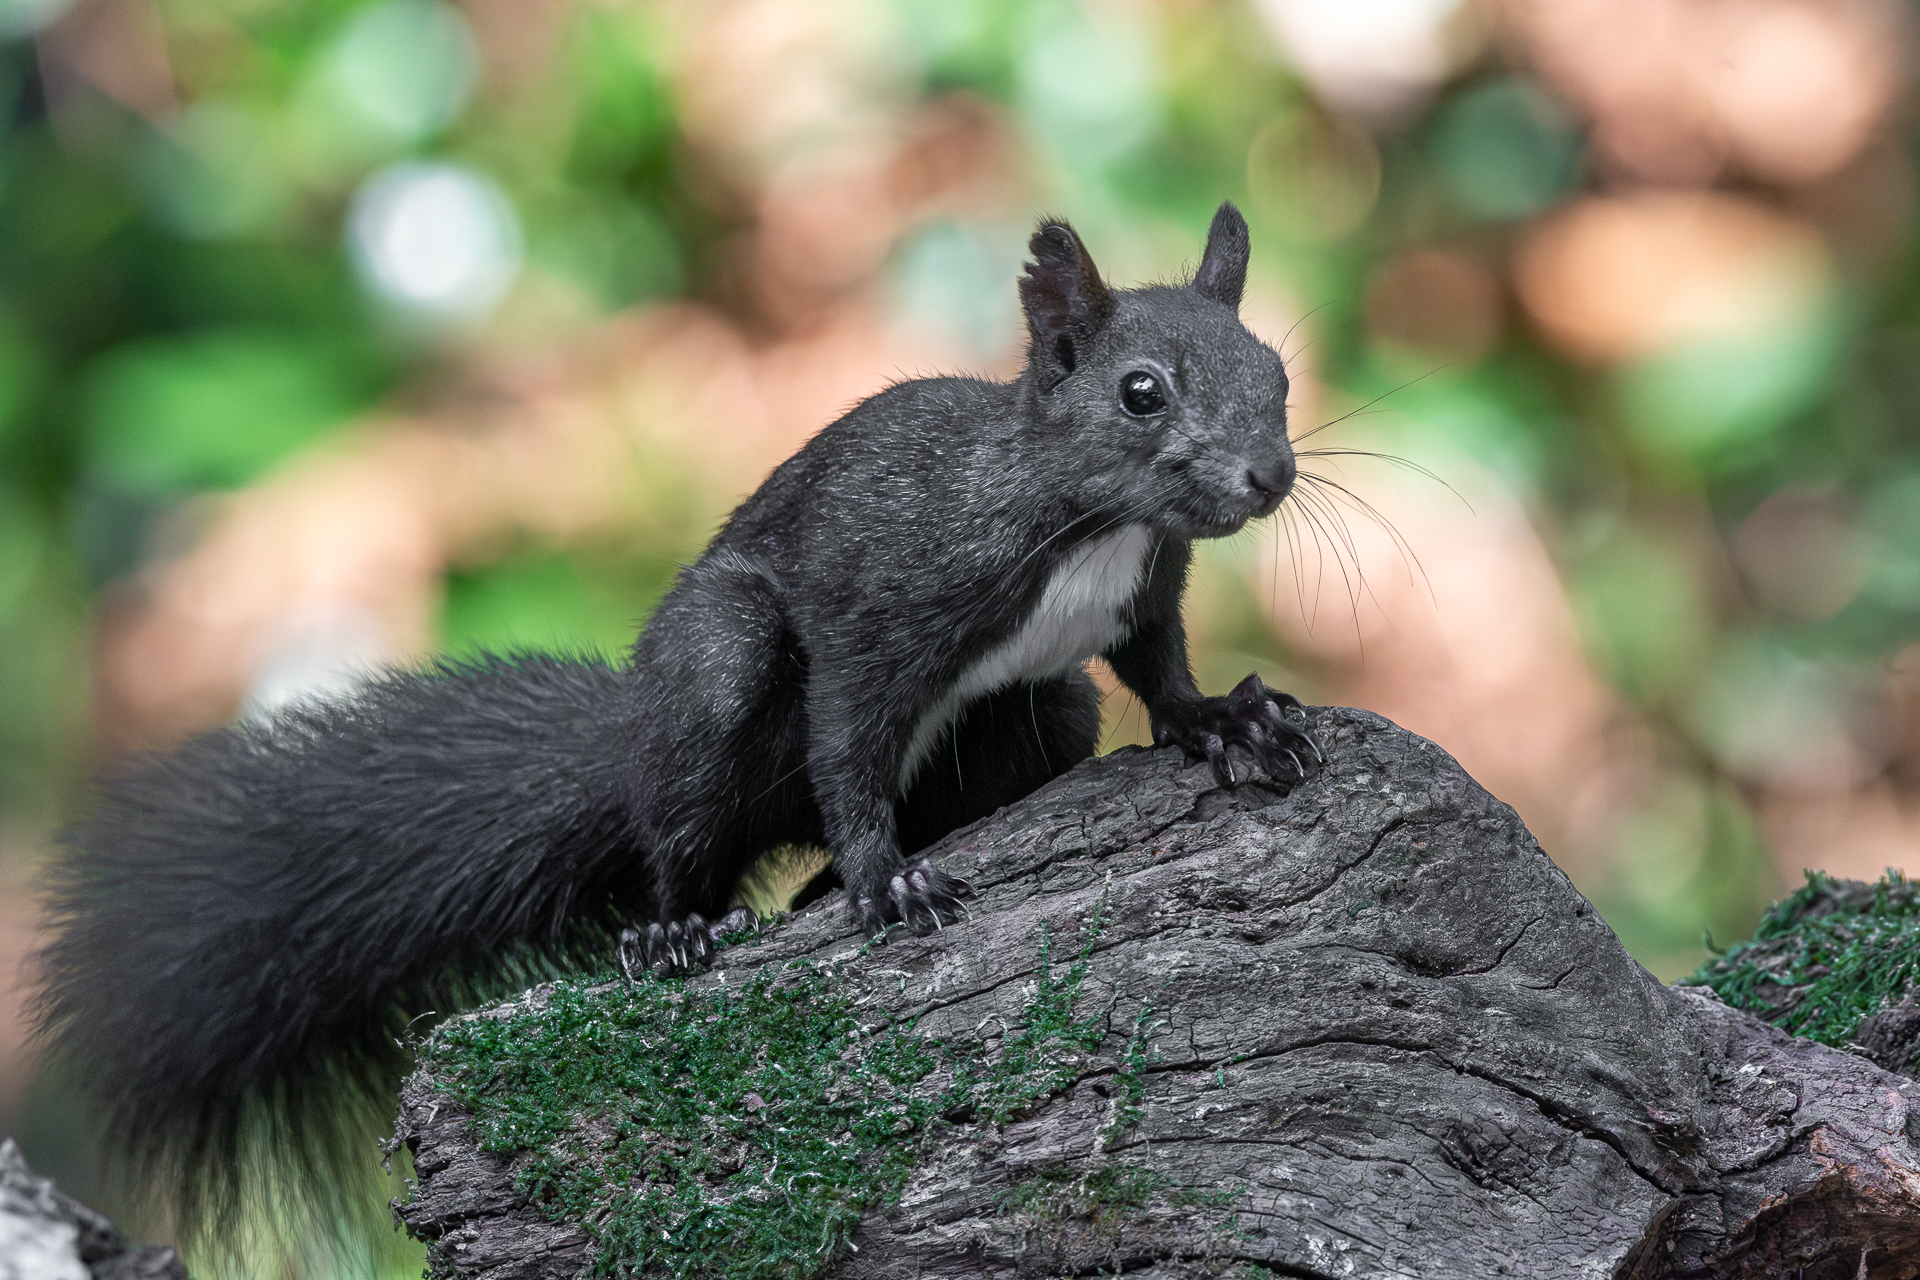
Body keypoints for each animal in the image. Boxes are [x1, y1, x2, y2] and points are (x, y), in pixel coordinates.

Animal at [34, 201, 1317, 1230]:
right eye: (1140, 390)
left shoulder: (1143, 593)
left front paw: (1230, 721)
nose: (1268, 476)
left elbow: (1160, 673)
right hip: (714, 671)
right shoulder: (887, 602)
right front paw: (882, 876)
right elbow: (851, 740)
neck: (1090, 522)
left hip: (1043, 710)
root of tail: (630, 751)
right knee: (685, 838)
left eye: (1278, 372)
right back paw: (680, 930)